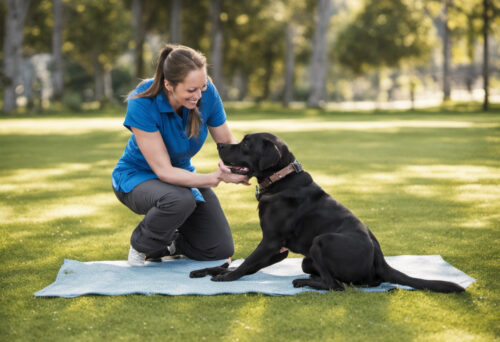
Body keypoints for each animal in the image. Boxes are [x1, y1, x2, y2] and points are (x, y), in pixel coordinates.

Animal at [190, 132, 464, 292]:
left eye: (246, 143)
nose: (220, 144)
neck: (281, 179)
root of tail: (380, 260)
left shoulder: (271, 242)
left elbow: (245, 263)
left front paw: (226, 279)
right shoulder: (278, 250)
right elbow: (238, 264)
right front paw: (207, 271)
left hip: (321, 241)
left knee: (336, 286)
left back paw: (304, 283)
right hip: (307, 258)